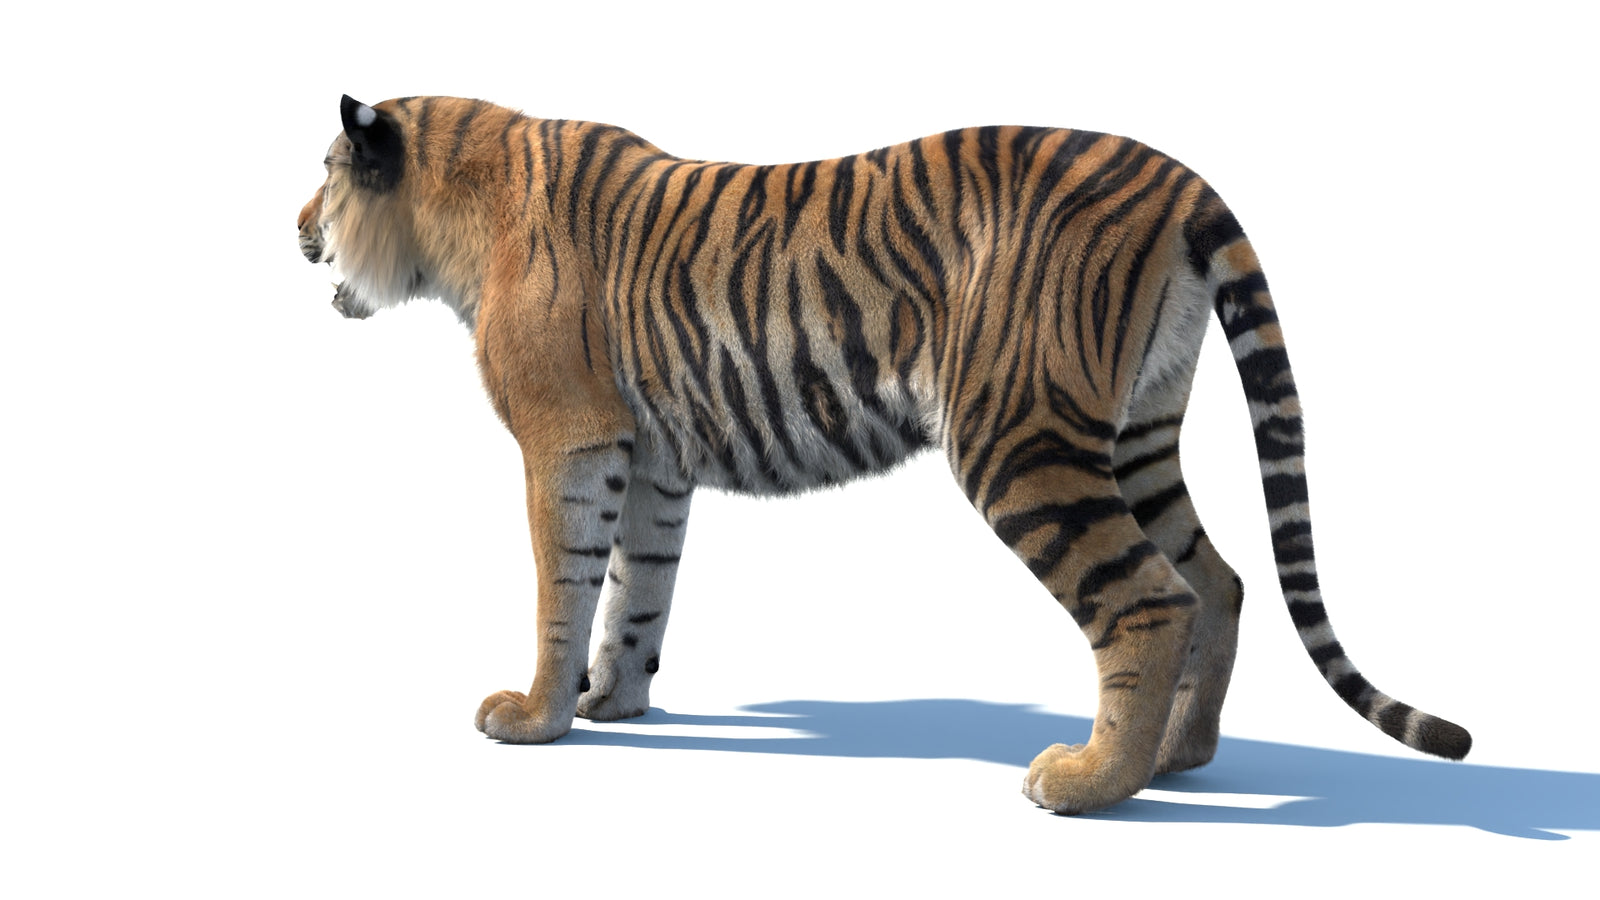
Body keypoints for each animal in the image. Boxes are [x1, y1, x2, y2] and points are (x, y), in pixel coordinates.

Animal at [296, 94, 1470, 814]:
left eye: (325, 175)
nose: (298, 226)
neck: (452, 215)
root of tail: (1177, 180)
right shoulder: (655, 456)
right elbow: (640, 590)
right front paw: (614, 705)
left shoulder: (569, 439)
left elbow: (563, 585)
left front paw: (534, 717)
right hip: (1134, 435)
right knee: (1218, 581)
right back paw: (1178, 757)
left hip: (1021, 439)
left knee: (1151, 597)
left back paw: (1091, 783)